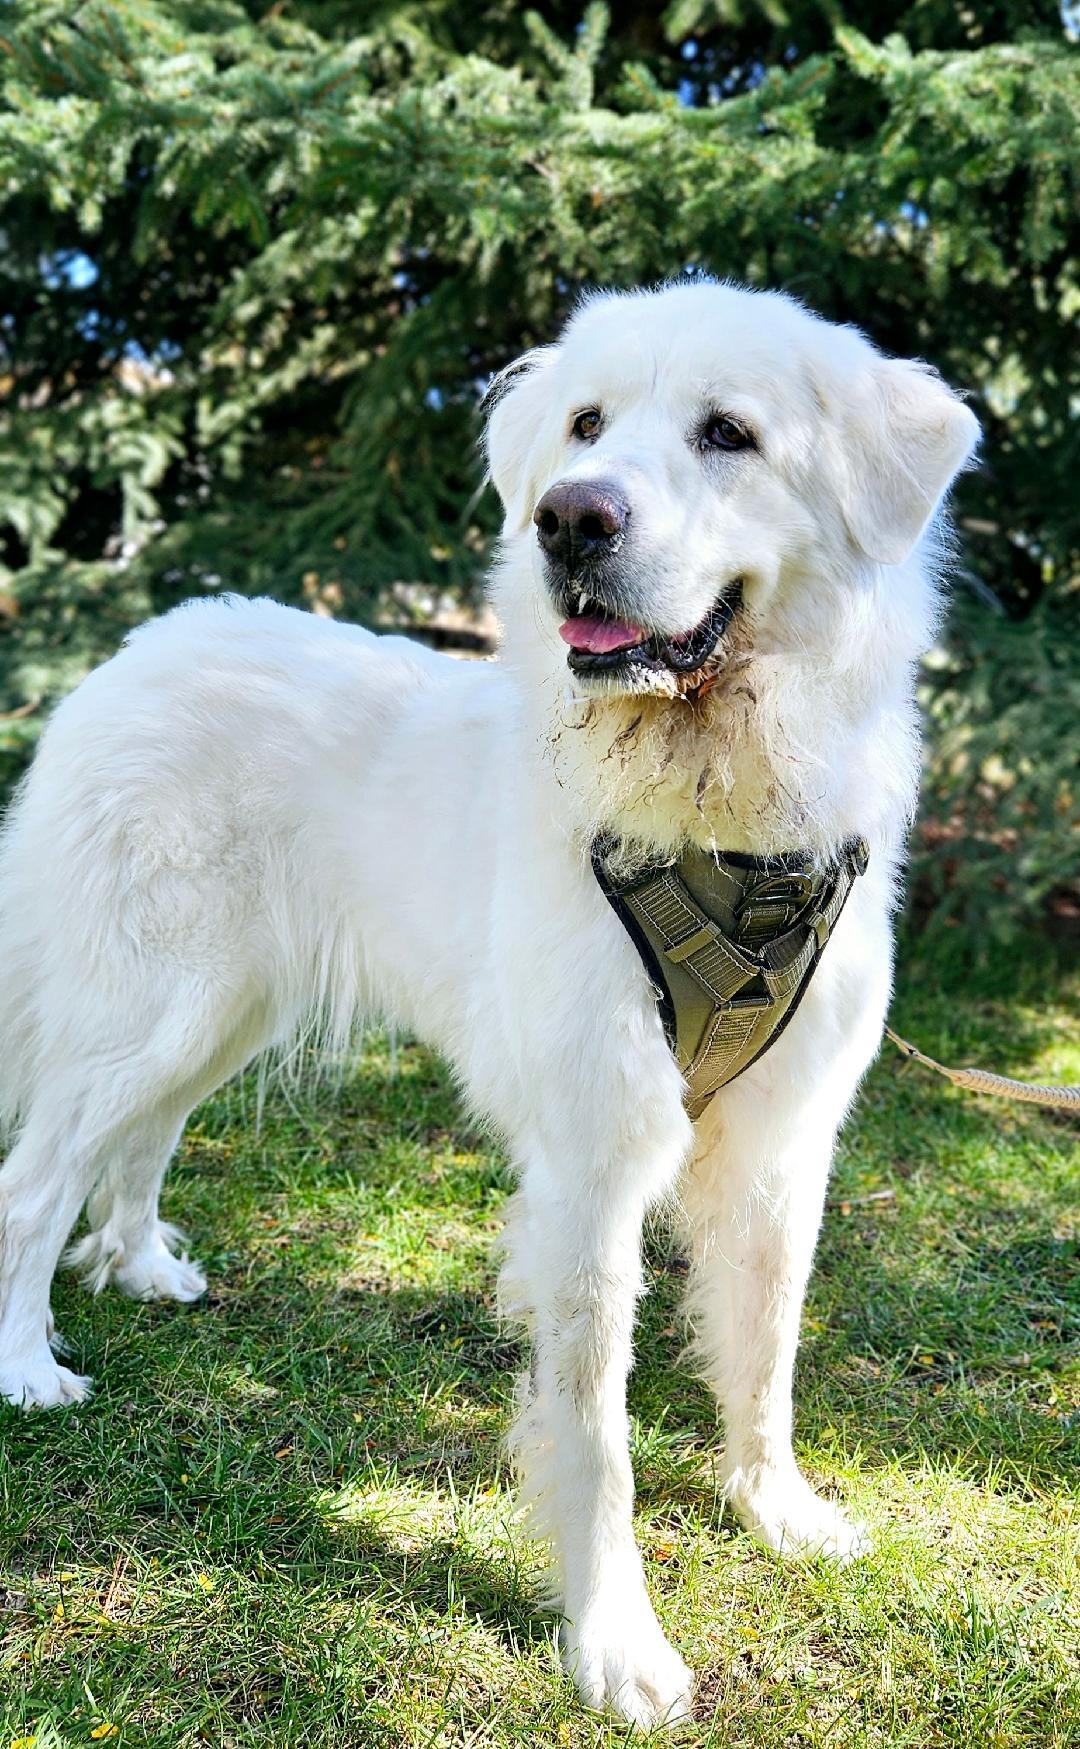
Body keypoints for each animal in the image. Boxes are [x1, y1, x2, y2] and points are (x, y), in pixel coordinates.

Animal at [0, 283, 980, 1721]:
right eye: (585, 426)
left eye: (729, 434)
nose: (569, 518)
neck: (711, 816)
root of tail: (135, 651)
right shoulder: (591, 1168)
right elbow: (597, 1432)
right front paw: (617, 1646)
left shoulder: (783, 1146)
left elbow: (767, 1349)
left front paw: (775, 1508)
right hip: (152, 1002)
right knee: (36, 1179)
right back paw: (28, 1366)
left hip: (217, 1010)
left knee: (139, 1141)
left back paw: (140, 1264)